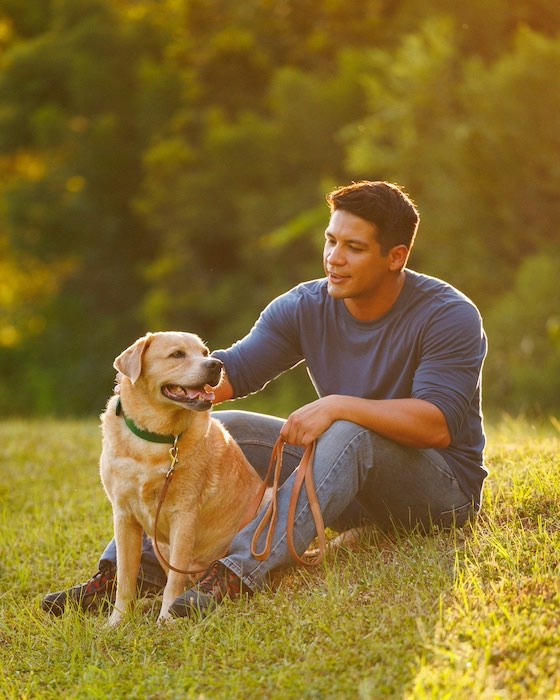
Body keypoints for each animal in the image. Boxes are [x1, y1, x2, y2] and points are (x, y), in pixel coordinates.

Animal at [99, 330, 264, 628]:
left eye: (204, 352)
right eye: (177, 354)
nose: (216, 365)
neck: (157, 439)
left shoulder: (184, 515)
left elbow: (173, 582)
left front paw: (166, 619)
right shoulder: (124, 516)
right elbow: (125, 578)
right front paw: (117, 621)